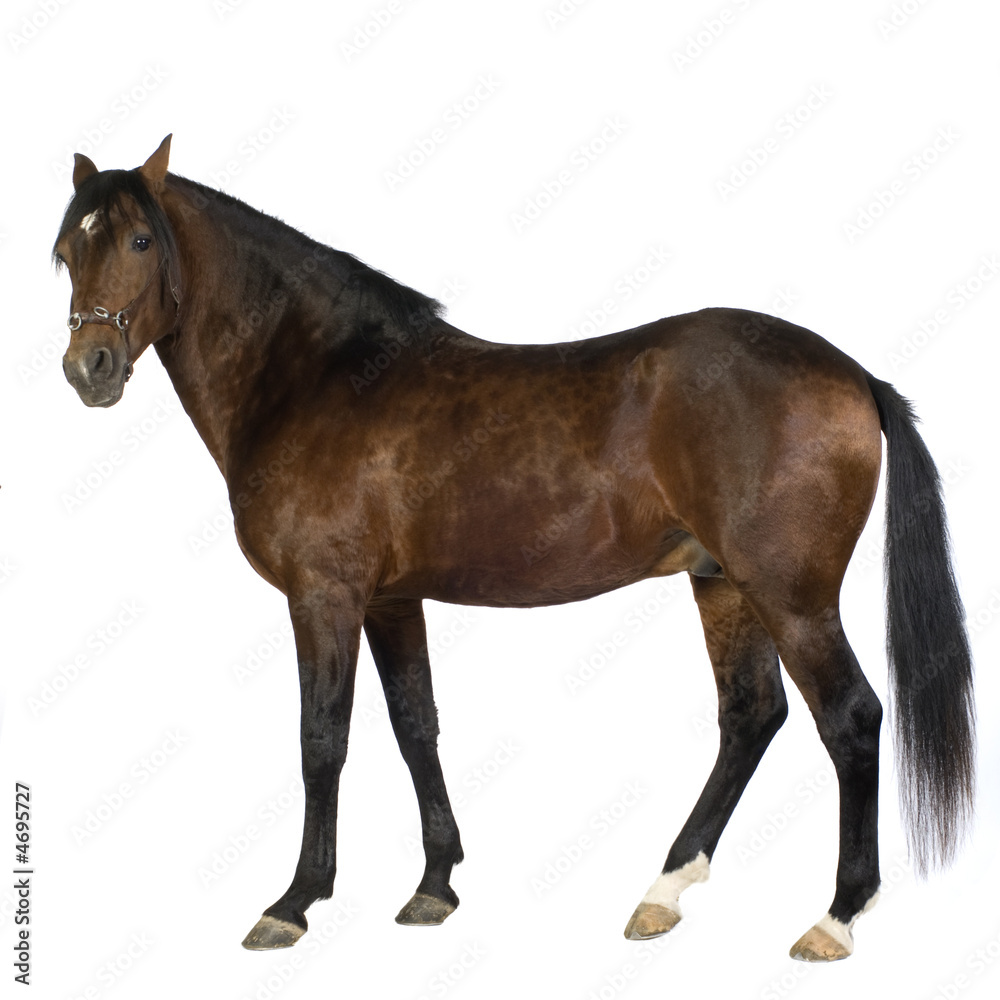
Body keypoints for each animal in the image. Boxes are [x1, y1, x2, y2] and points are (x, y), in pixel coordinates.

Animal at [52, 135, 975, 961]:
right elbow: (414, 724)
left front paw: (295, 903)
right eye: (66, 252)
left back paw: (835, 918)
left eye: (139, 240)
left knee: (850, 719)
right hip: (722, 585)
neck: (320, 377)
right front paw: (434, 886)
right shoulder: (391, 600)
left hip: (791, 595)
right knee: (752, 715)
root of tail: (855, 375)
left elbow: (323, 740)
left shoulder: (325, 597)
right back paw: (663, 892)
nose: (88, 367)